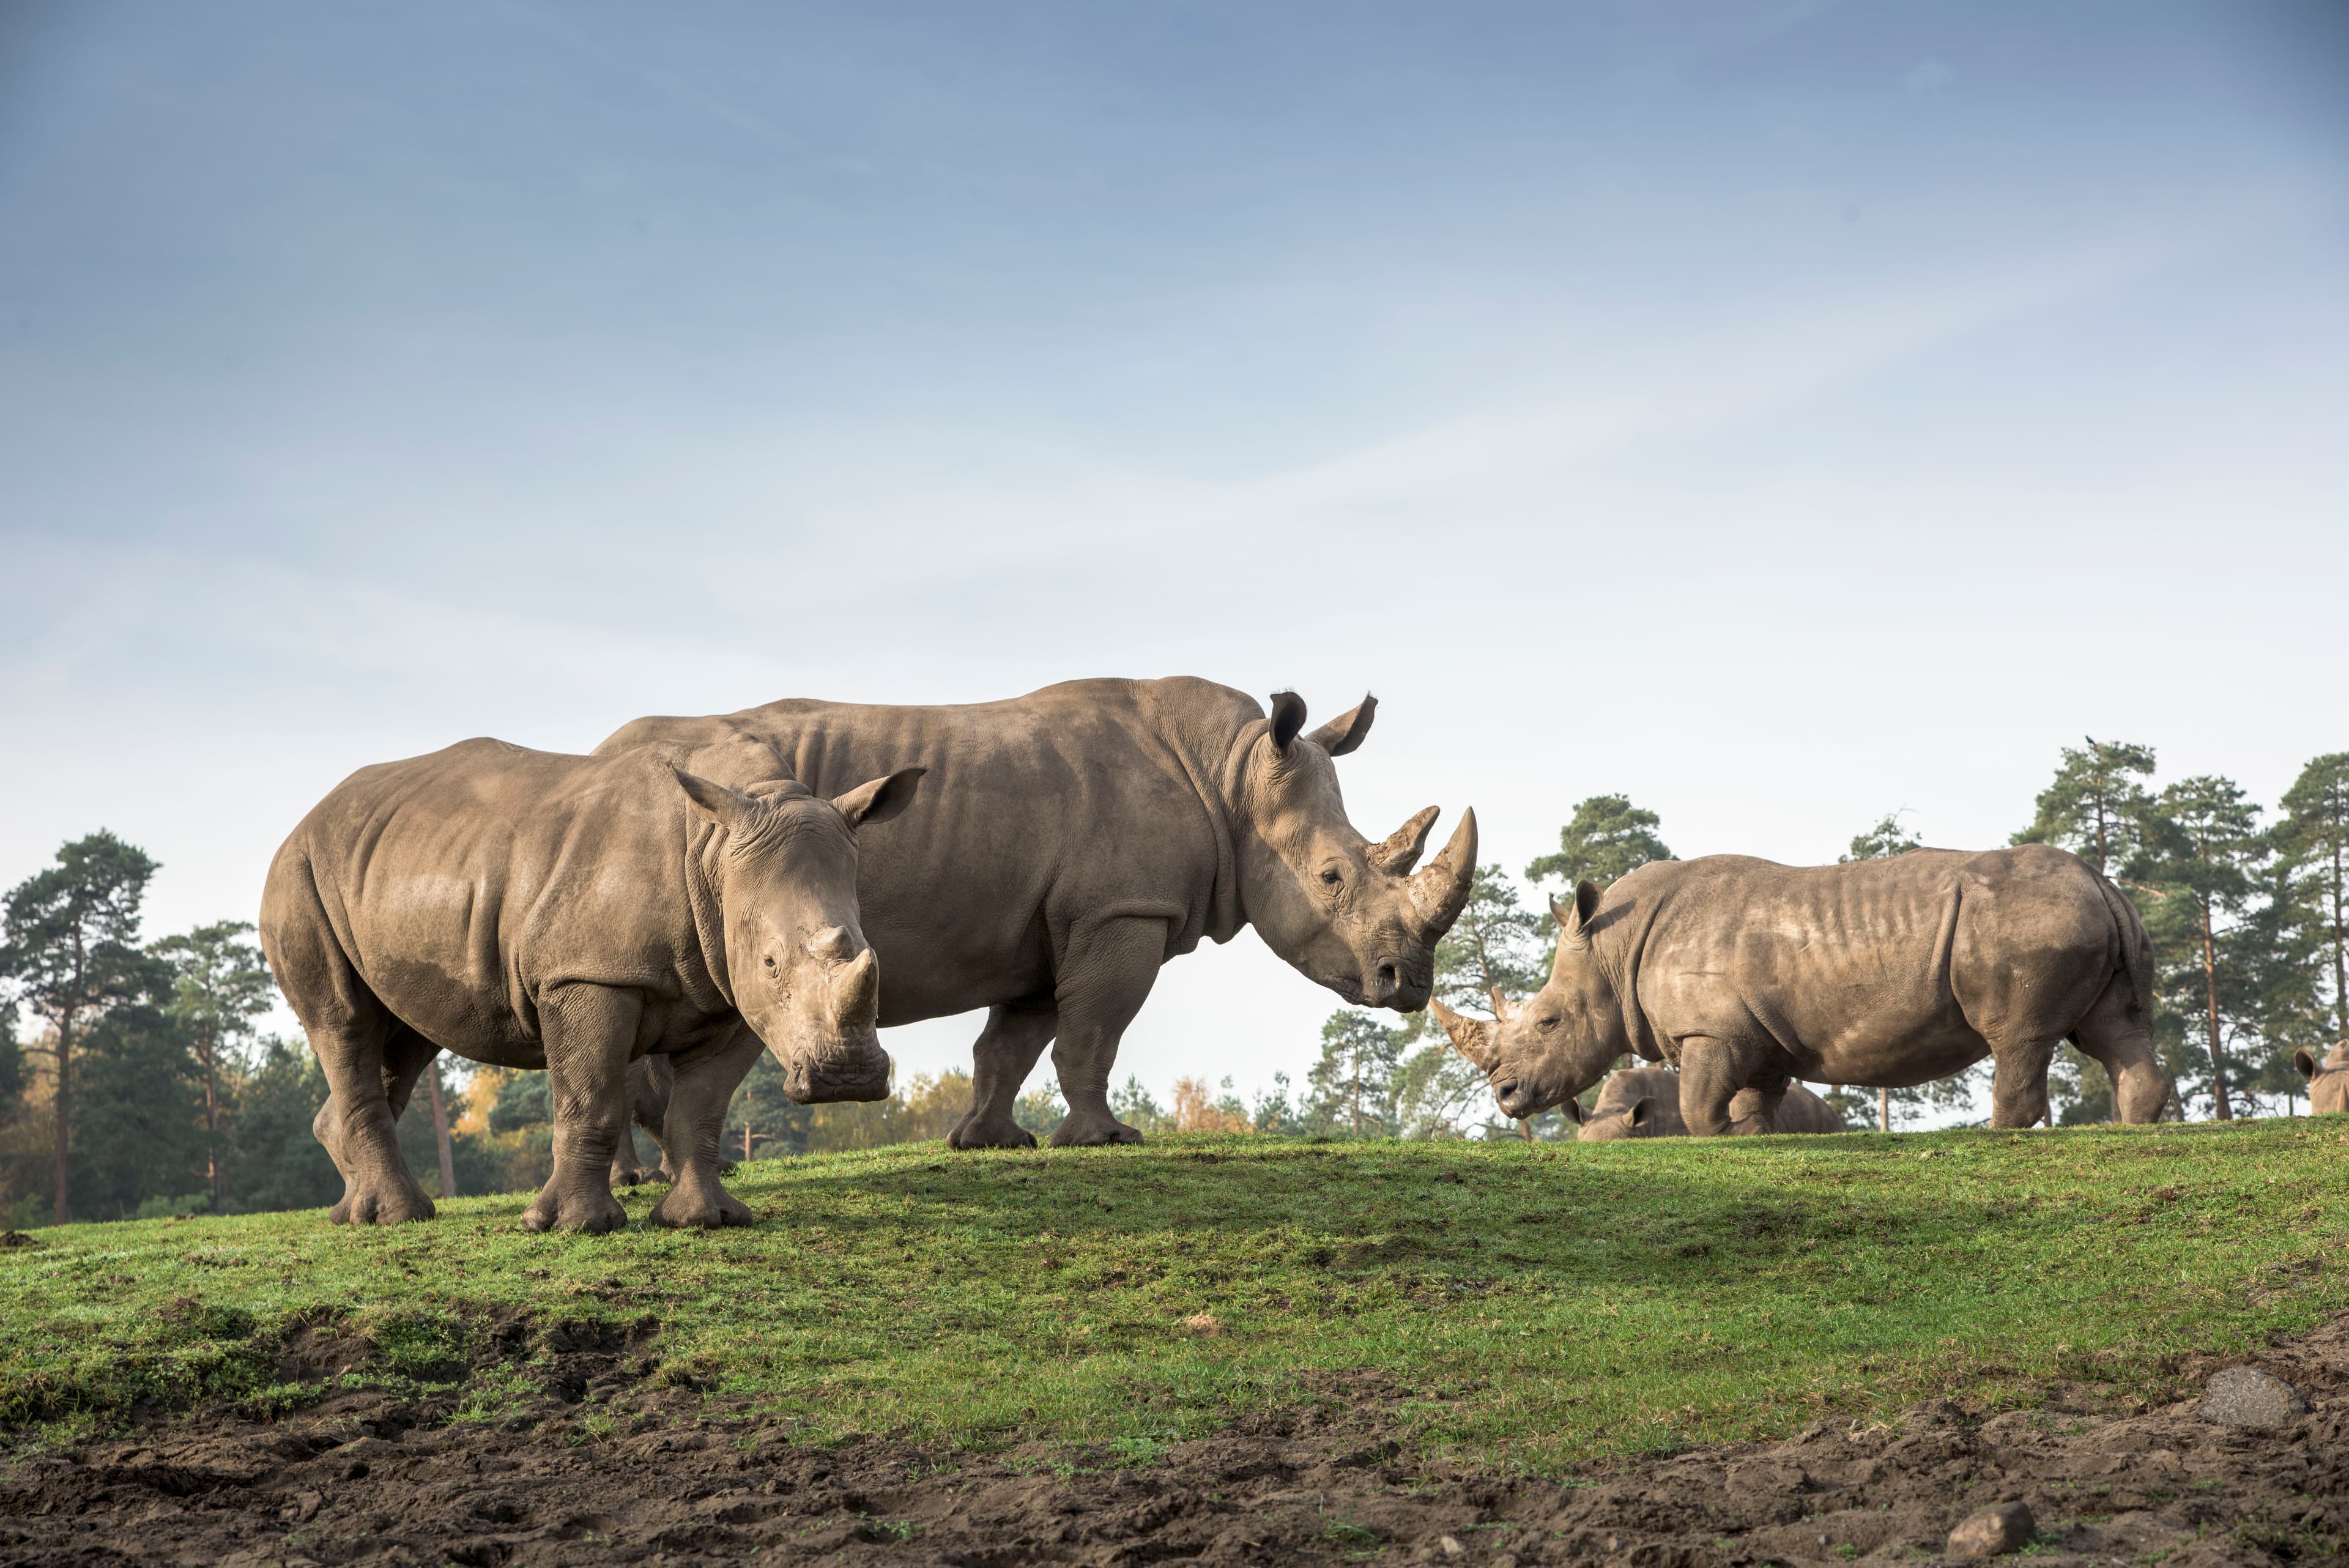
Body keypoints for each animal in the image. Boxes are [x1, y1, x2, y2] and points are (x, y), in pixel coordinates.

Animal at [257, 743, 916, 1232]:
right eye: (773, 961)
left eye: (869, 949)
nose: (847, 1079)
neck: (714, 849)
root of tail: (307, 818)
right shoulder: (589, 972)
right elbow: (591, 1097)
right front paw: (573, 1226)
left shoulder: (733, 995)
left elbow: (701, 1107)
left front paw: (704, 1219)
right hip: (298, 873)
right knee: (344, 1021)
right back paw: (398, 1218)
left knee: (408, 1035)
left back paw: (352, 1211)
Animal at [592, 682, 1466, 1147]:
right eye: (1330, 876)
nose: (1409, 982)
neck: (1234, 772)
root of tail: (596, 760)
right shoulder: (1121, 912)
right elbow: (1094, 1031)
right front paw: (1106, 1139)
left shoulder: (1052, 926)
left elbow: (1011, 1043)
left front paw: (990, 1142)